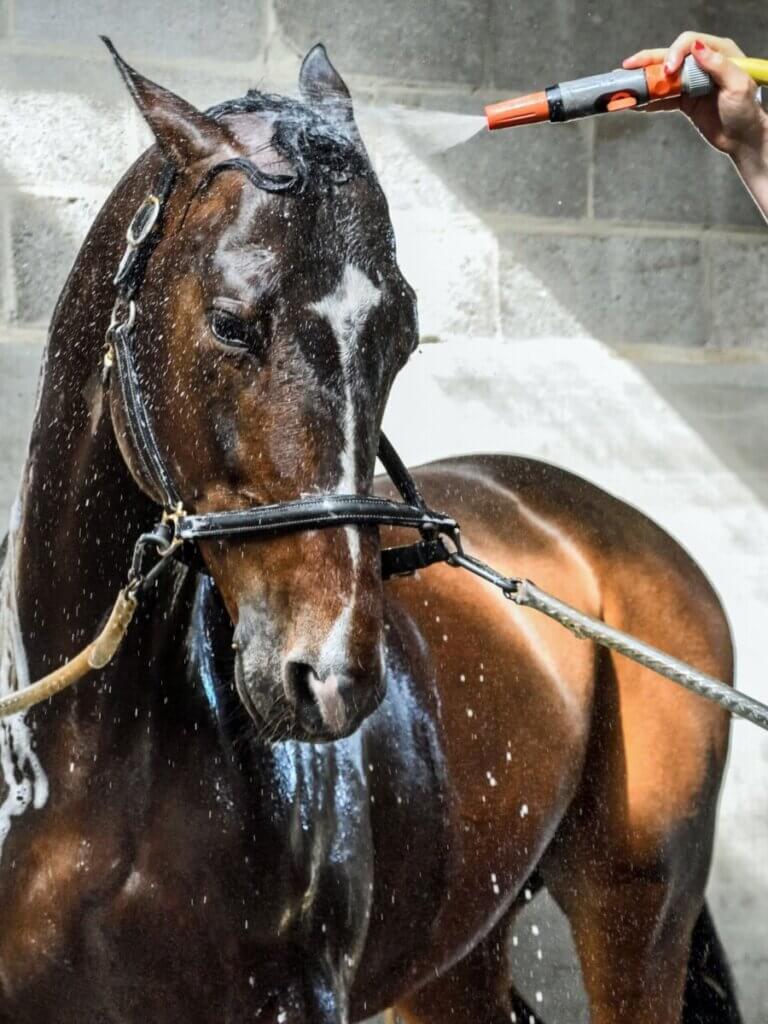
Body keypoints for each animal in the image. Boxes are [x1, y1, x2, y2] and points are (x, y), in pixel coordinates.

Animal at [0, 40, 743, 1024]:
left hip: (637, 918)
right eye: (231, 322)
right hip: (459, 956)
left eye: (402, 335)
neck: (80, 760)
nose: (333, 677)